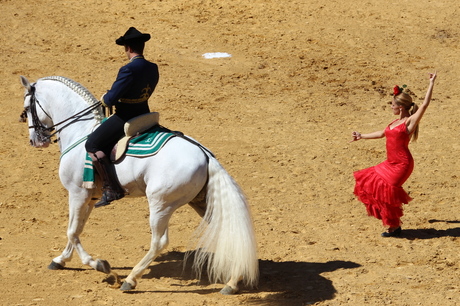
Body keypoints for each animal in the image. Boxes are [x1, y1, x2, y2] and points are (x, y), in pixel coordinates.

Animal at [19, 74, 258, 294]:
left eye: (27, 108)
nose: (34, 141)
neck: (80, 131)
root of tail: (205, 155)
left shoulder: (76, 193)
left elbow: (72, 231)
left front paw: (100, 265)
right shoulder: (90, 197)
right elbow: (77, 228)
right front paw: (60, 260)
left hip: (160, 204)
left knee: (159, 242)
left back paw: (130, 279)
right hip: (202, 202)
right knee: (227, 230)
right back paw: (233, 282)